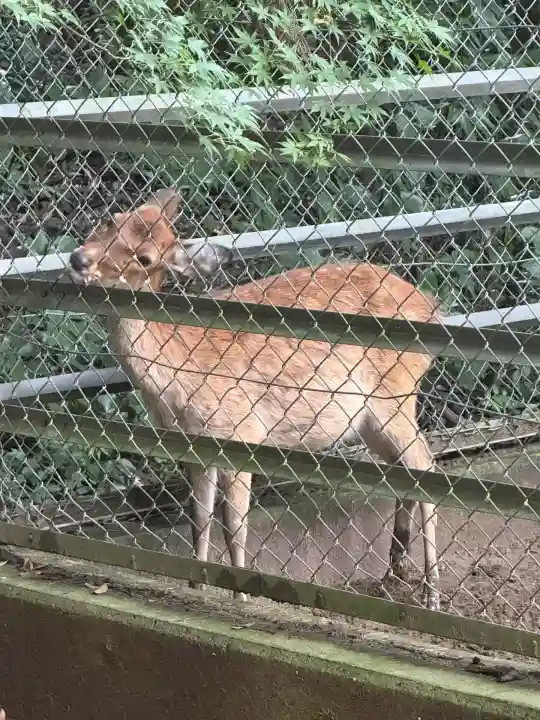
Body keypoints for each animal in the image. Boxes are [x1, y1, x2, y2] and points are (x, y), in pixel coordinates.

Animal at [68, 188, 441, 610]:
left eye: (145, 258)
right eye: (111, 219)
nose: (79, 259)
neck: (179, 379)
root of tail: (433, 307)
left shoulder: (240, 432)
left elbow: (235, 526)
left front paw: (241, 595)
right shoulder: (193, 447)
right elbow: (199, 520)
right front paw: (196, 586)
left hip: (395, 396)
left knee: (426, 465)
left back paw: (431, 594)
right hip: (369, 421)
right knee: (403, 471)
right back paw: (394, 574)